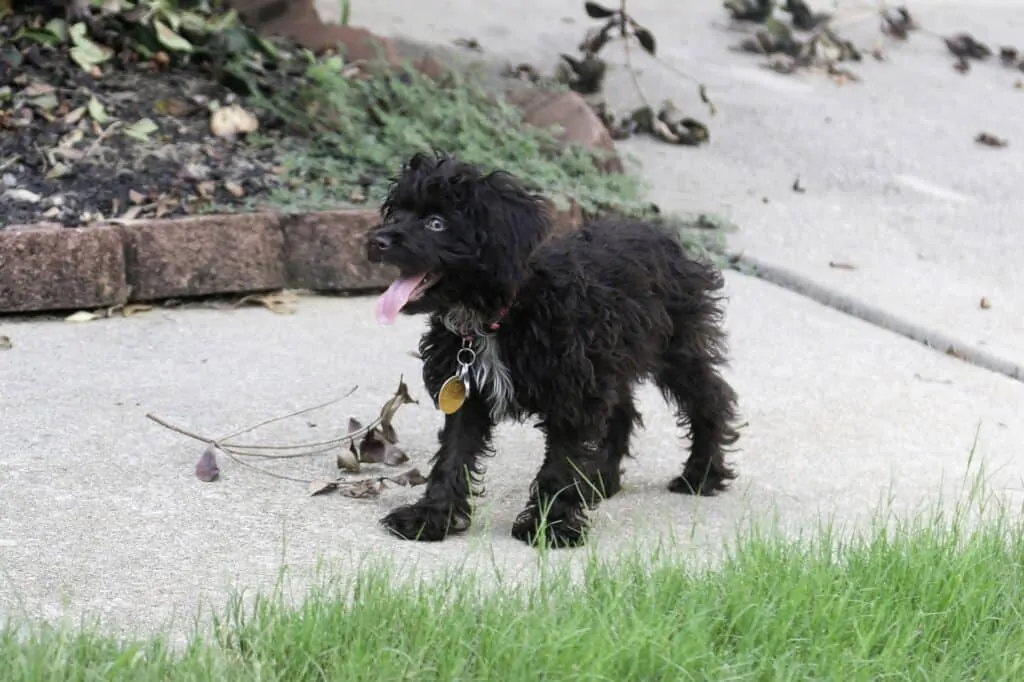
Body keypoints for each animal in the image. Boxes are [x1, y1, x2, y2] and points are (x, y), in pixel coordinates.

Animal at [364, 150, 741, 548]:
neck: (500, 315)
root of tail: (661, 235)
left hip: (676, 349)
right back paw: (600, 480)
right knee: (622, 411)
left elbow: (560, 464)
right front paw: (431, 517)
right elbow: (452, 455)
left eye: (436, 223)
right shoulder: (467, 390)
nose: (376, 240)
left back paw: (702, 474)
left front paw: (551, 526)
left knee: (710, 399)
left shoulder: (572, 394)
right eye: (396, 213)